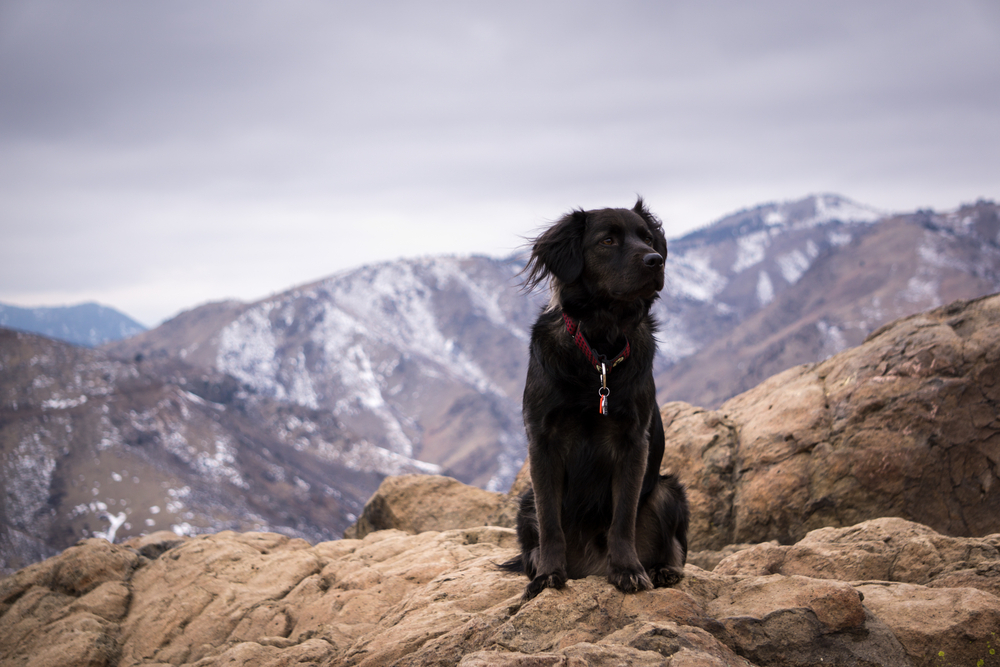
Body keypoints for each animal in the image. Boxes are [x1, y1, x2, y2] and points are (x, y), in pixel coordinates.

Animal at [504, 201, 692, 604]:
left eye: (647, 238)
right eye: (607, 240)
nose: (655, 260)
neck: (600, 347)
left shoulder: (633, 442)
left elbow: (622, 518)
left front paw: (627, 570)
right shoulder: (542, 440)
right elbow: (550, 522)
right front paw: (548, 575)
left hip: (668, 491)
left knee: (673, 544)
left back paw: (663, 569)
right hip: (524, 502)